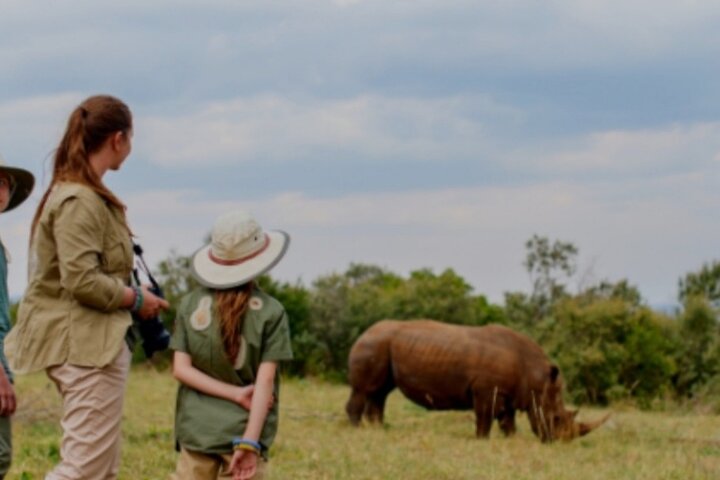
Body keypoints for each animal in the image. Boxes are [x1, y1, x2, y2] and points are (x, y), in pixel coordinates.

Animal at [346, 320, 608, 441]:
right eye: (556, 419)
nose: (561, 442)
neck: (536, 377)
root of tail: (364, 331)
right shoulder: (486, 391)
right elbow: (485, 419)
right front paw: (482, 441)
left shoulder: (508, 393)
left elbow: (507, 422)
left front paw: (511, 440)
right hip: (373, 344)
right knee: (365, 390)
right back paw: (357, 431)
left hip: (381, 344)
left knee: (380, 393)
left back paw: (377, 430)